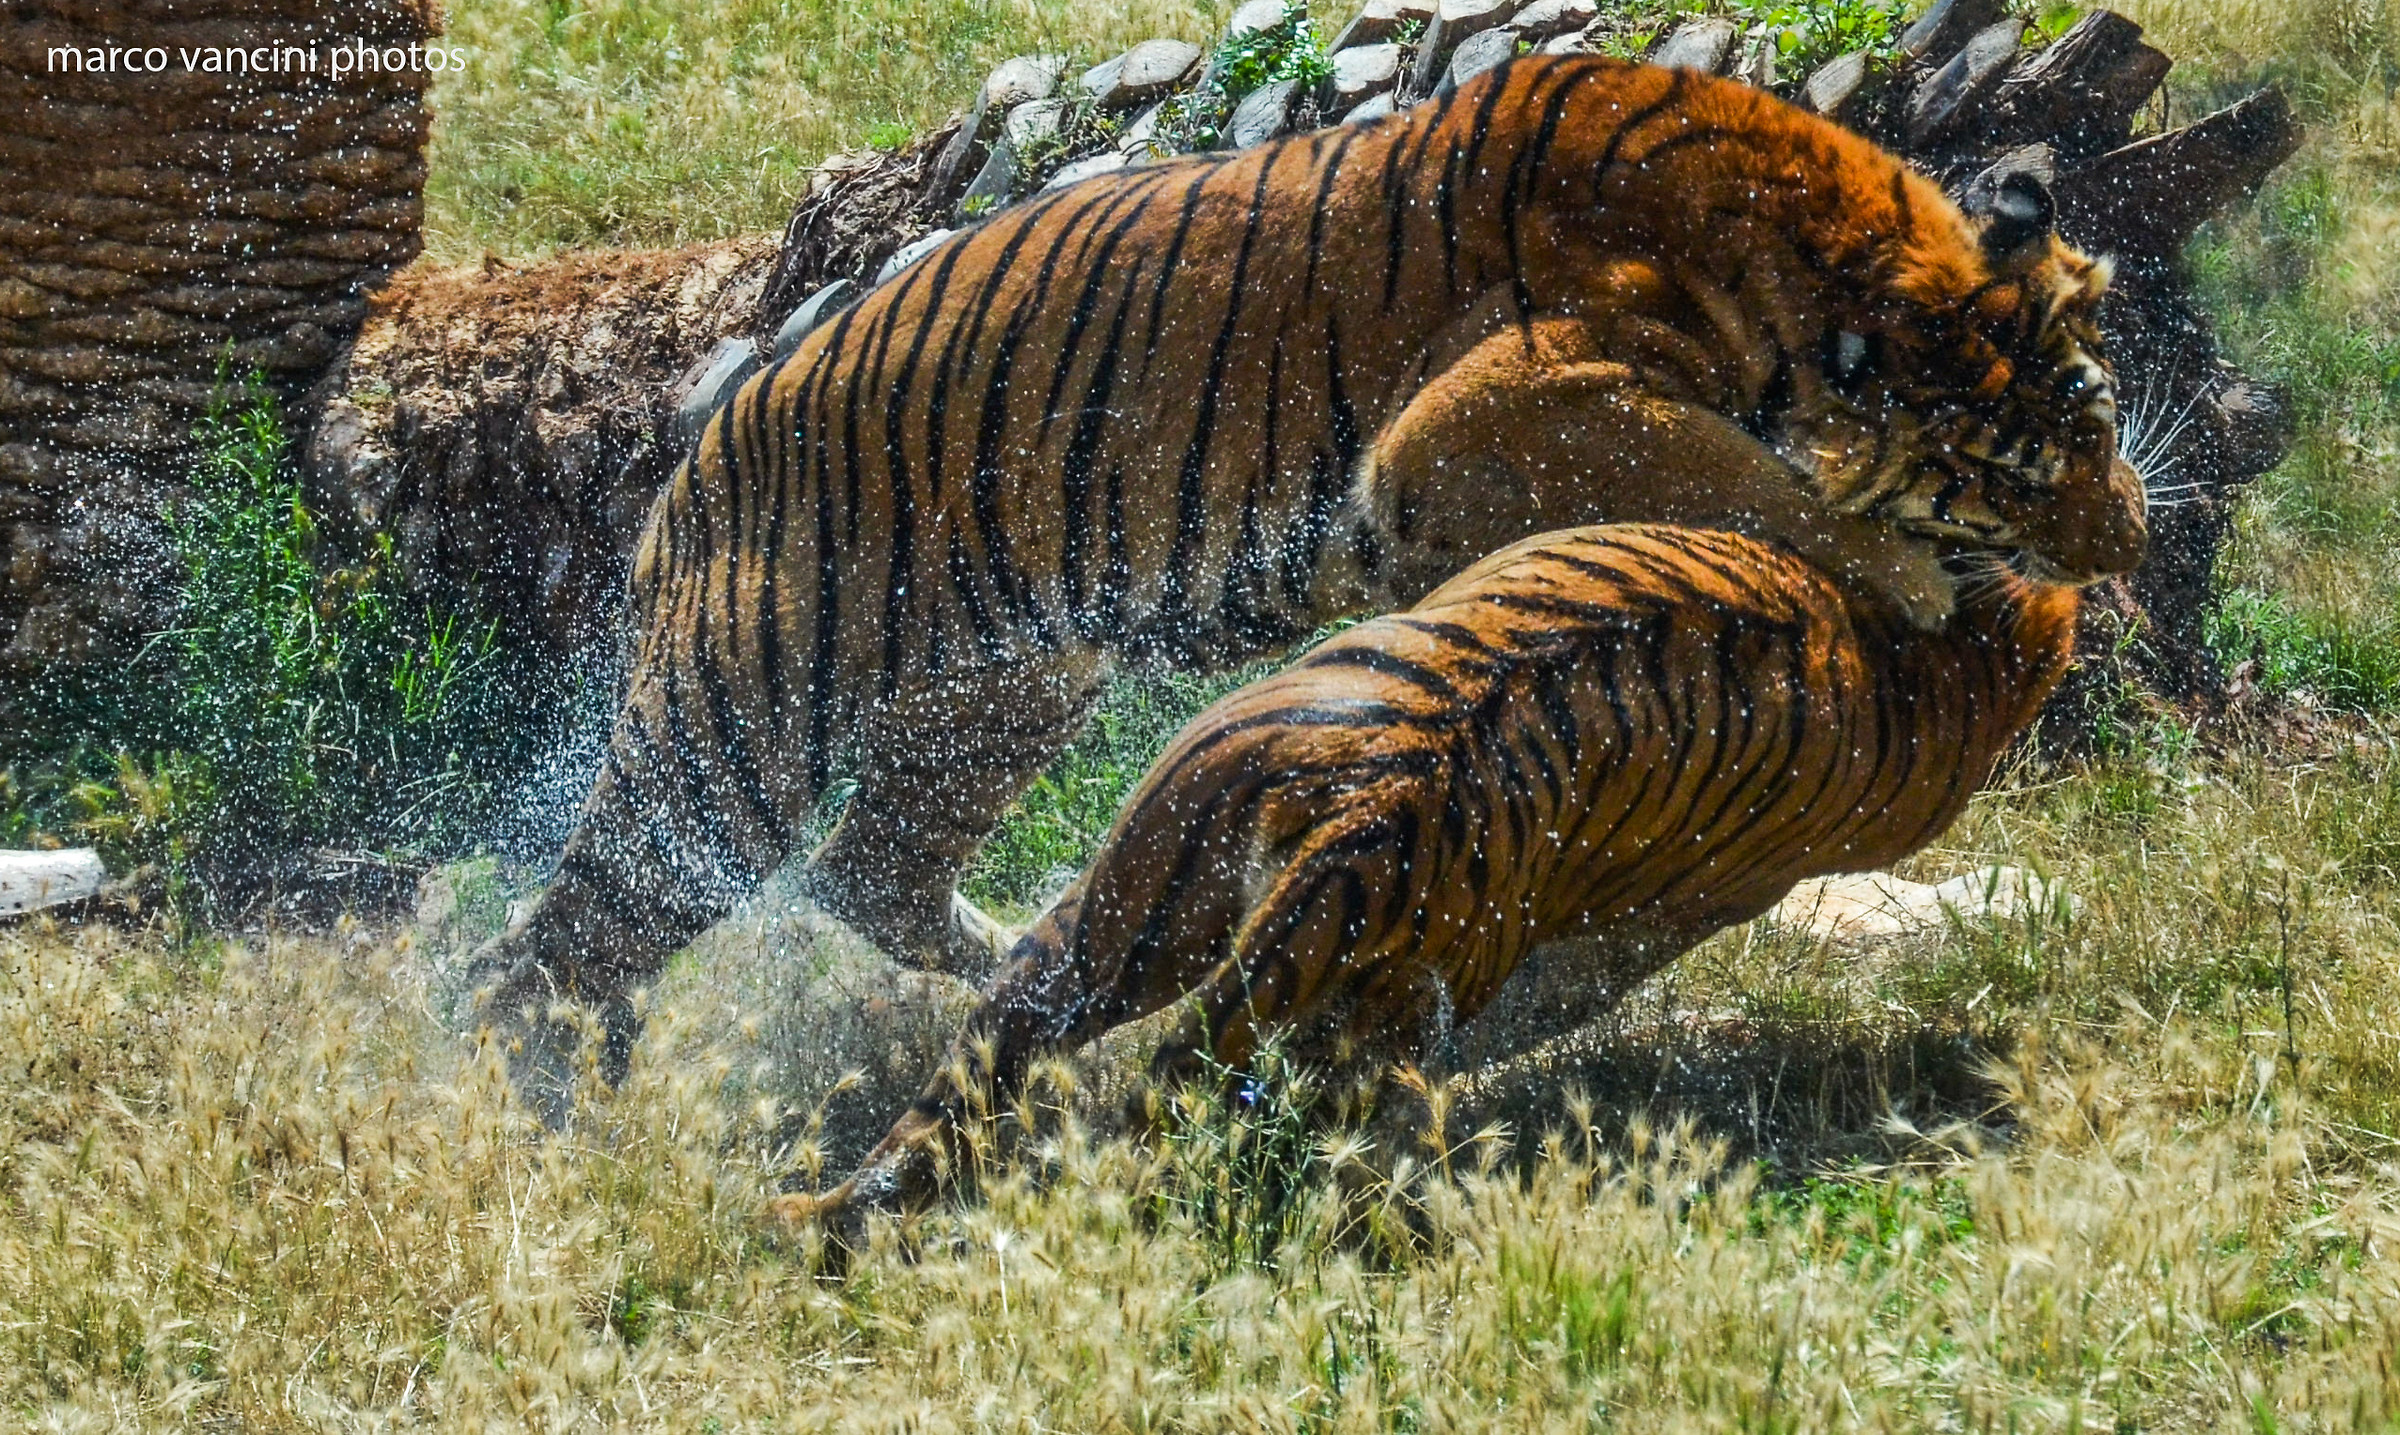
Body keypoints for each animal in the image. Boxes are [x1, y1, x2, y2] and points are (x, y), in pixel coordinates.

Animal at [467, 55, 2143, 1110]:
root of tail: (699, 445)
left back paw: (1021, 965)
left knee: (869, 868)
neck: (1800, 256)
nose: (2127, 547)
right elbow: (1749, 478)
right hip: (736, 735)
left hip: (1004, 687)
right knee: (551, 944)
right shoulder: (1479, 418)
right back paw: (539, 1114)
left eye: (2104, 407)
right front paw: (1916, 576)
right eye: (2050, 439)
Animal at [770, 518, 2098, 1241]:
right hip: (1334, 986)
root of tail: (1381, 798)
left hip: (1131, 907)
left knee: (1007, 1069)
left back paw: (835, 1224)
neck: (1951, 670)